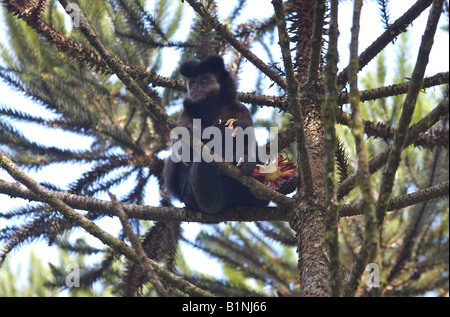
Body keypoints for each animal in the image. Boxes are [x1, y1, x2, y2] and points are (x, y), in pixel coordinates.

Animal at [163, 55, 268, 214]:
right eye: (193, 83)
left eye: (203, 80)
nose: (195, 87)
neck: (212, 107)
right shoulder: (185, 113)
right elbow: (182, 152)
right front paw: (221, 129)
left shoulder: (240, 109)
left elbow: (248, 144)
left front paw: (247, 161)